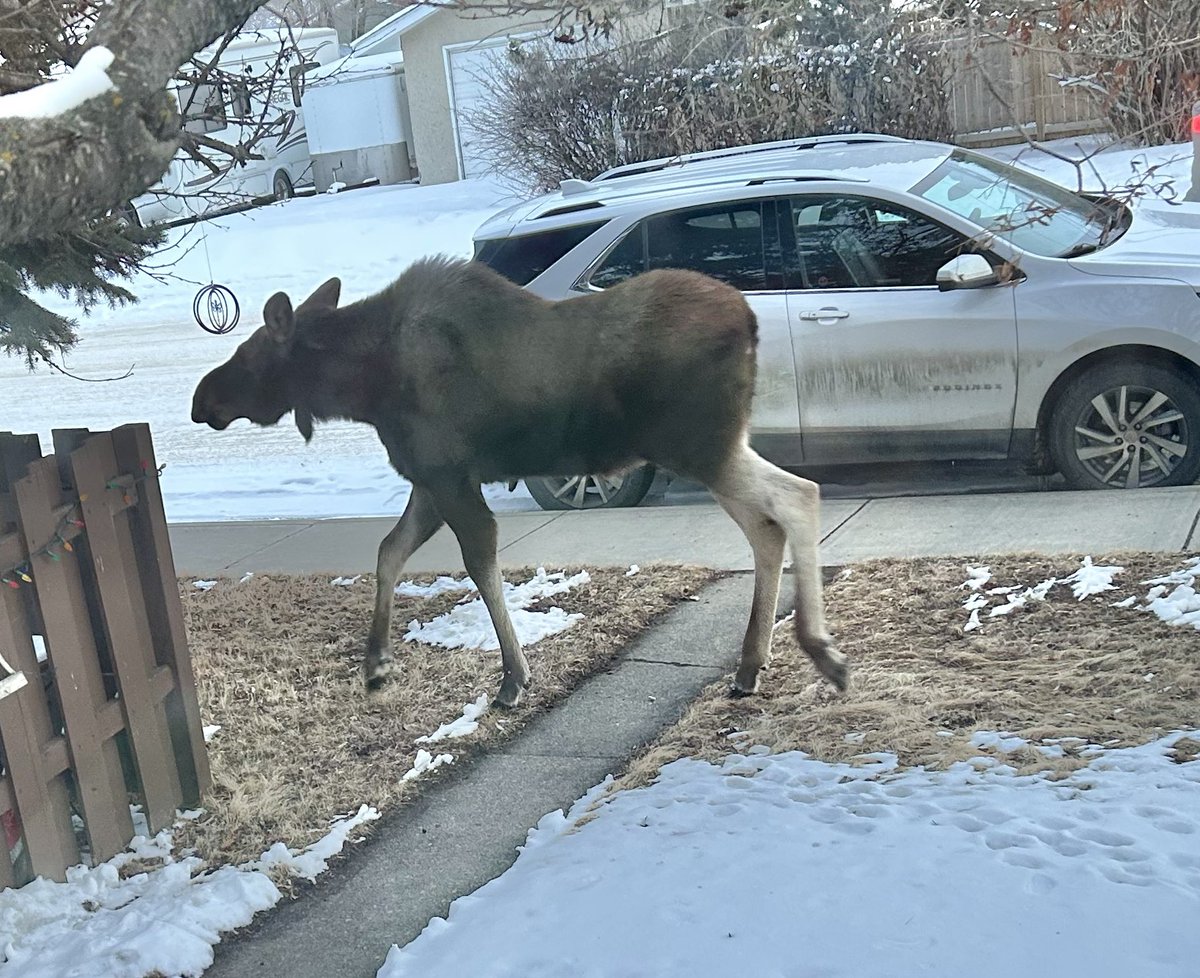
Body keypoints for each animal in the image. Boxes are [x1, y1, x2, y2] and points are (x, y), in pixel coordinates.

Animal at [191, 257, 846, 708]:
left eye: (249, 355)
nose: (201, 400)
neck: (362, 387)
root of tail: (751, 322)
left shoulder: (450, 478)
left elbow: (479, 564)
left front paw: (513, 678)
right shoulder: (429, 481)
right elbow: (388, 553)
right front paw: (376, 663)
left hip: (699, 446)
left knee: (799, 496)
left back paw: (821, 651)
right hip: (716, 448)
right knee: (766, 528)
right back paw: (750, 666)